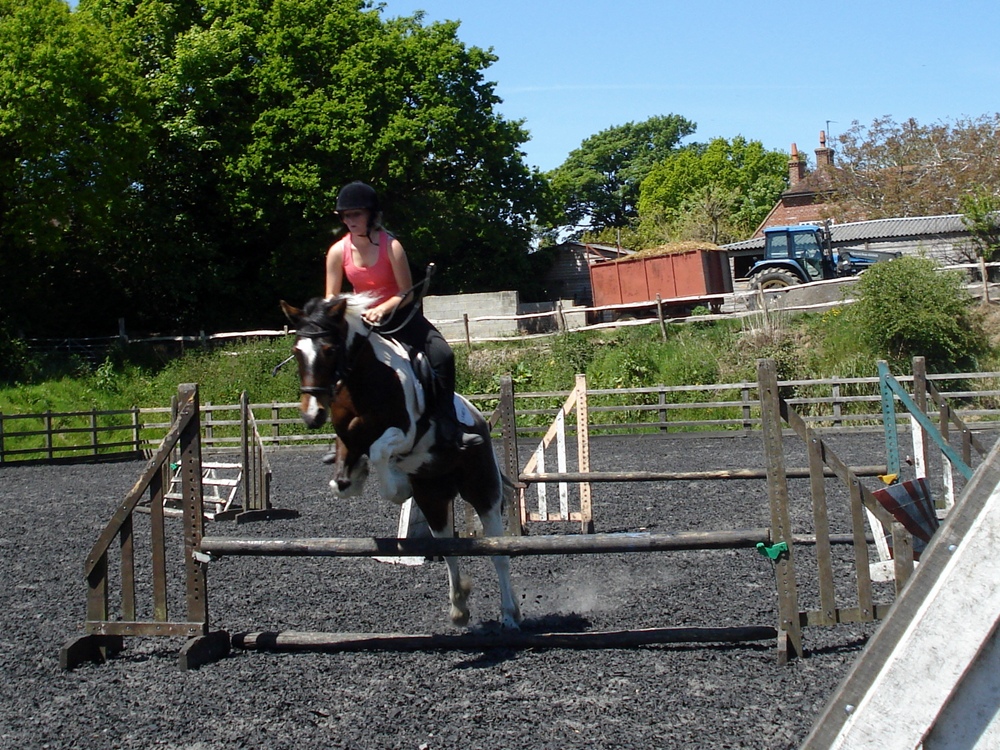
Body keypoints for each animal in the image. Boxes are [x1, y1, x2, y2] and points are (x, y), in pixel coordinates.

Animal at [279, 295, 522, 630]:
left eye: (329, 349)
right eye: (297, 352)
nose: (312, 415)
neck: (365, 380)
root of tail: (478, 418)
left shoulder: (405, 434)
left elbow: (382, 455)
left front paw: (395, 484)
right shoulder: (348, 441)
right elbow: (342, 482)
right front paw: (356, 474)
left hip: (482, 490)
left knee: (498, 553)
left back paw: (510, 615)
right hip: (434, 498)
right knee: (447, 548)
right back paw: (459, 607)